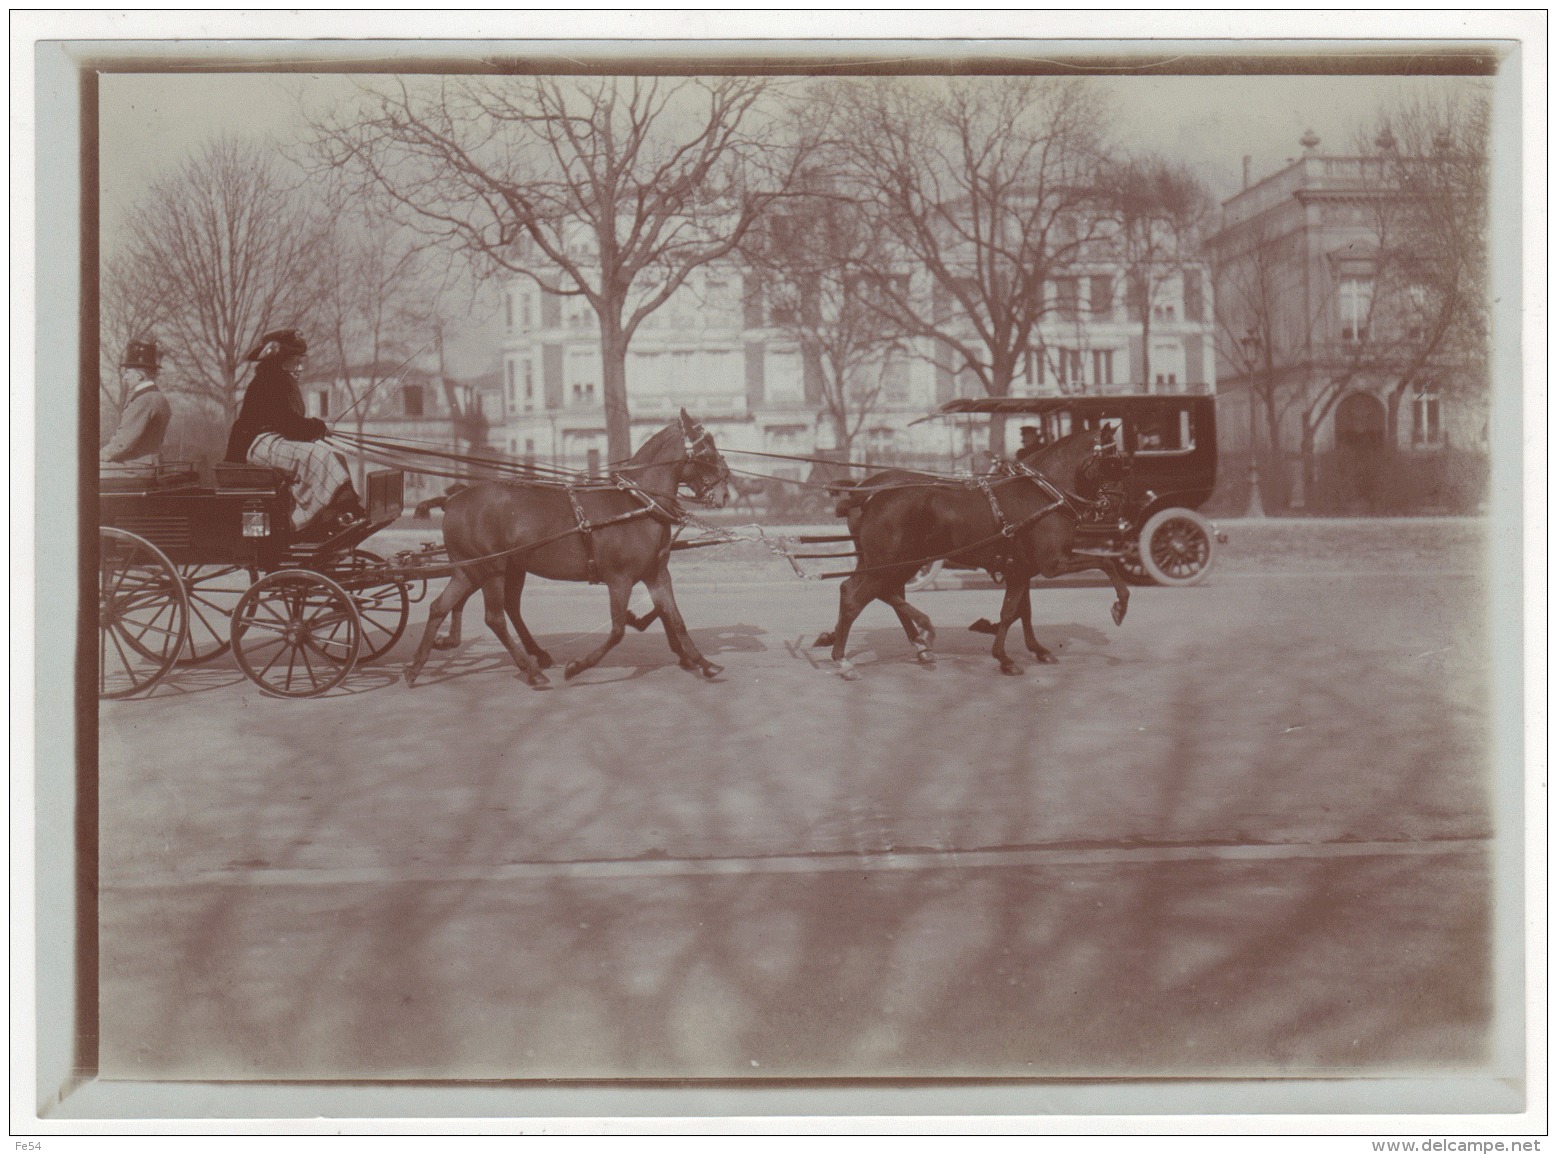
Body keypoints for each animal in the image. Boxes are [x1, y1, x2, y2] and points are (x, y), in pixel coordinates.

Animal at [407, 410, 734, 691]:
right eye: (706, 451)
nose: (726, 492)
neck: (637, 503)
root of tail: (454, 499)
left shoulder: (656, 573)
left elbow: (675, 618)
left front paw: (703, 662)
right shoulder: (620, 579)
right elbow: (617, 631)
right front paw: (577, 666)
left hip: (472, 569)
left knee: (441, 607)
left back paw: (417, 666)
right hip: (492, 569)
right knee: (495, 618)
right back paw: (531, 670)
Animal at [822, 426, 1127, 678]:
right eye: (1111, 462)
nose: (1116, 505)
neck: (1044, 496)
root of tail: (869, 494)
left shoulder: (1021, 569)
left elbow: (1019, 611)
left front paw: (1029, 649)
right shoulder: (1053, 563)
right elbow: (1105, 563)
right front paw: (1120, 606)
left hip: (890, 563)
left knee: (867, 590)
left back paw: (915, 641)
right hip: (890, 563)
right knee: (857, 597)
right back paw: (846, 659)